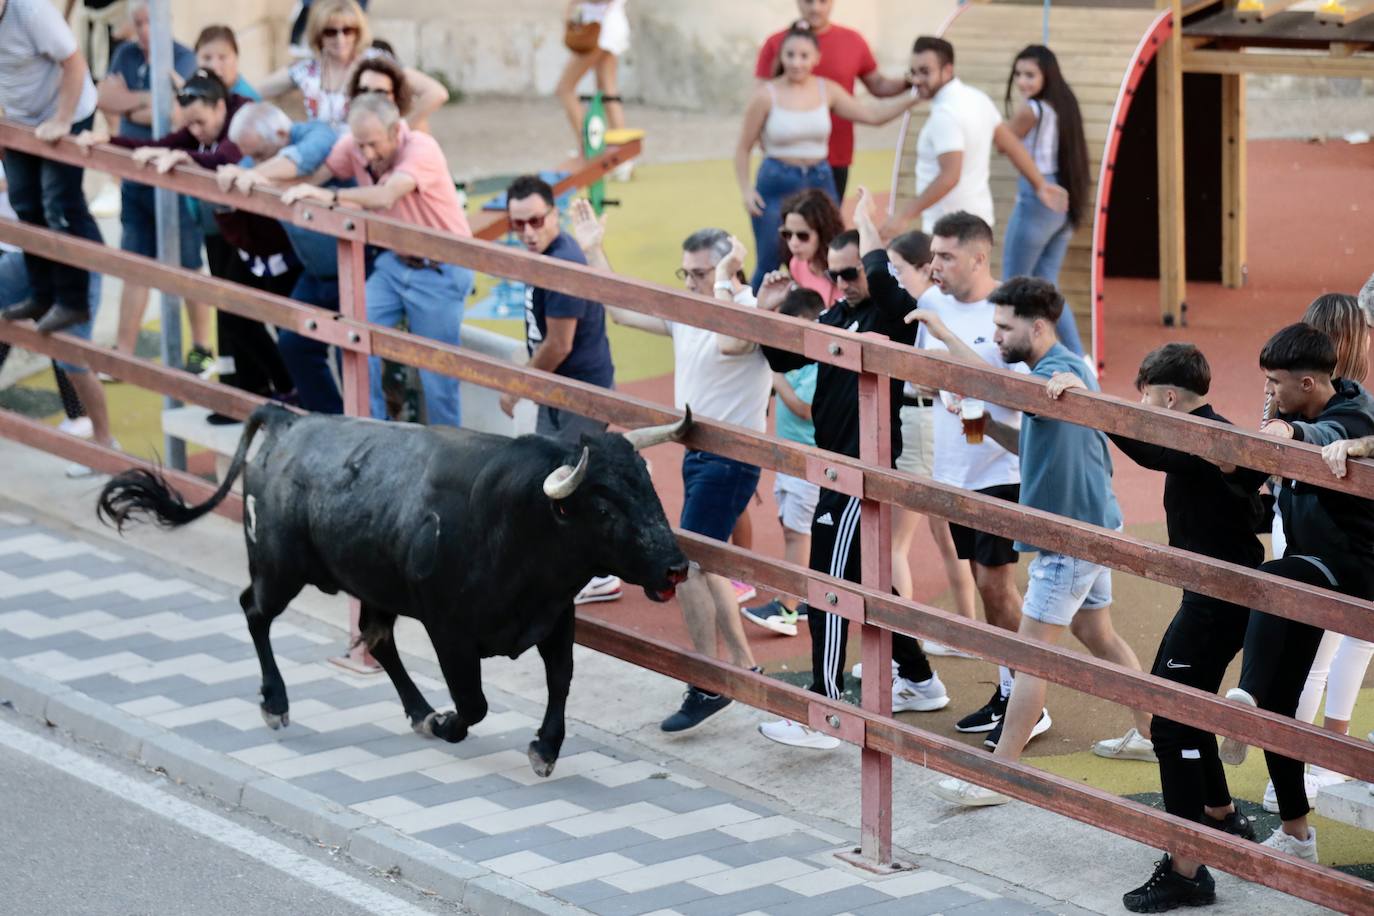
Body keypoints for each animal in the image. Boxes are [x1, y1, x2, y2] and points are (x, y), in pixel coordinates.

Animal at [95, 406, 692, 774]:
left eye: (649, 486)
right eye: (603, 506)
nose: (676, 567)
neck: (515, 521)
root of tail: (291, 421)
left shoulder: (556, 618)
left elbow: (561, 681)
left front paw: (543, 749)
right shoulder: (449, 630)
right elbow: (473, 703)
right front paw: (451, 723)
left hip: (368, 583)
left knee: (376, 638)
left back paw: (419, 712)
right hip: (277, 567)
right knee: (255, 612)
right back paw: (276, 703)